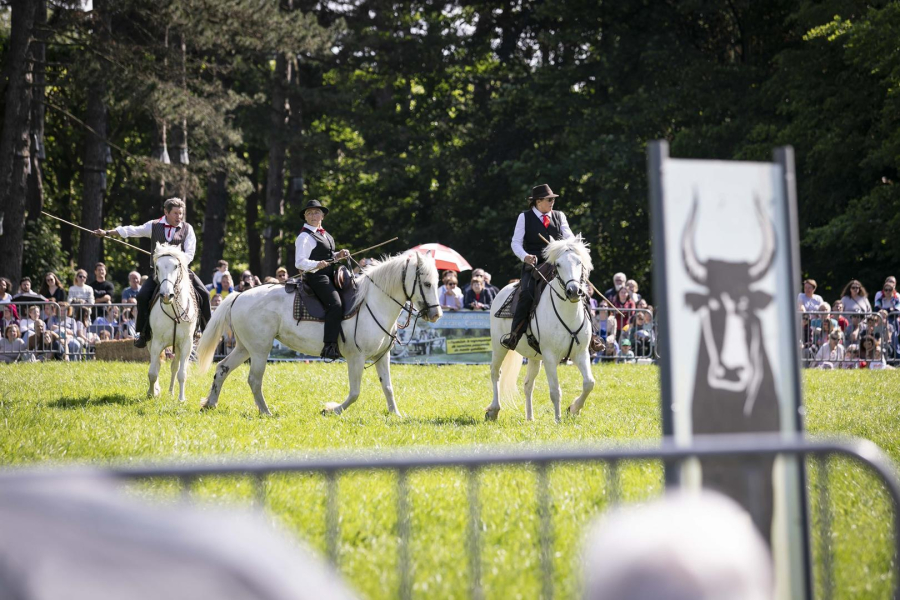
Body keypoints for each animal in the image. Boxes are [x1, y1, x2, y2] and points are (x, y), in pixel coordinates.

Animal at [148, 244, 199, 404]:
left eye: (176, 266)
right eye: (157, 267)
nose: (166, 295)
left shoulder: (186, 344)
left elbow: (182, 373)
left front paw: (181, 399)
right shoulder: (156, 343)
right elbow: (153, 372)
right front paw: (151, 393)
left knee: (174, 367)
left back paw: (171, 392)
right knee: (157, 365)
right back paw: (157, 390)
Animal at [194, 251, 442, 414]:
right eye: (427, 284)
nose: (436, 314)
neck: (373, 302)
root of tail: (238, 295)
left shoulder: (382, 356)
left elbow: (388, 387)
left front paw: (395, 414)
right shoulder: (356, 357)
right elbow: (355, 392)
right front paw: (332, 409)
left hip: (244, 347)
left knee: (222, 368)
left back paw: (210, 403)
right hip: (259, 350)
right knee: (254, 379)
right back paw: (266, 412)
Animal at [488, 234, 596, 422]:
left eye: (579, 262)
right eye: (558, 264)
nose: (574, 291)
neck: (568, 313)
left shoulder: (581, 353)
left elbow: (589, 383)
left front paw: (573, 409)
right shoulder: (550, 357)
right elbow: (555, 390)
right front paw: (558, 420)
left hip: (534, 357)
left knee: (527, 384)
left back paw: (530, 418)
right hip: (499, 347)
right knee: (496, 373)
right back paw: (494, 410)